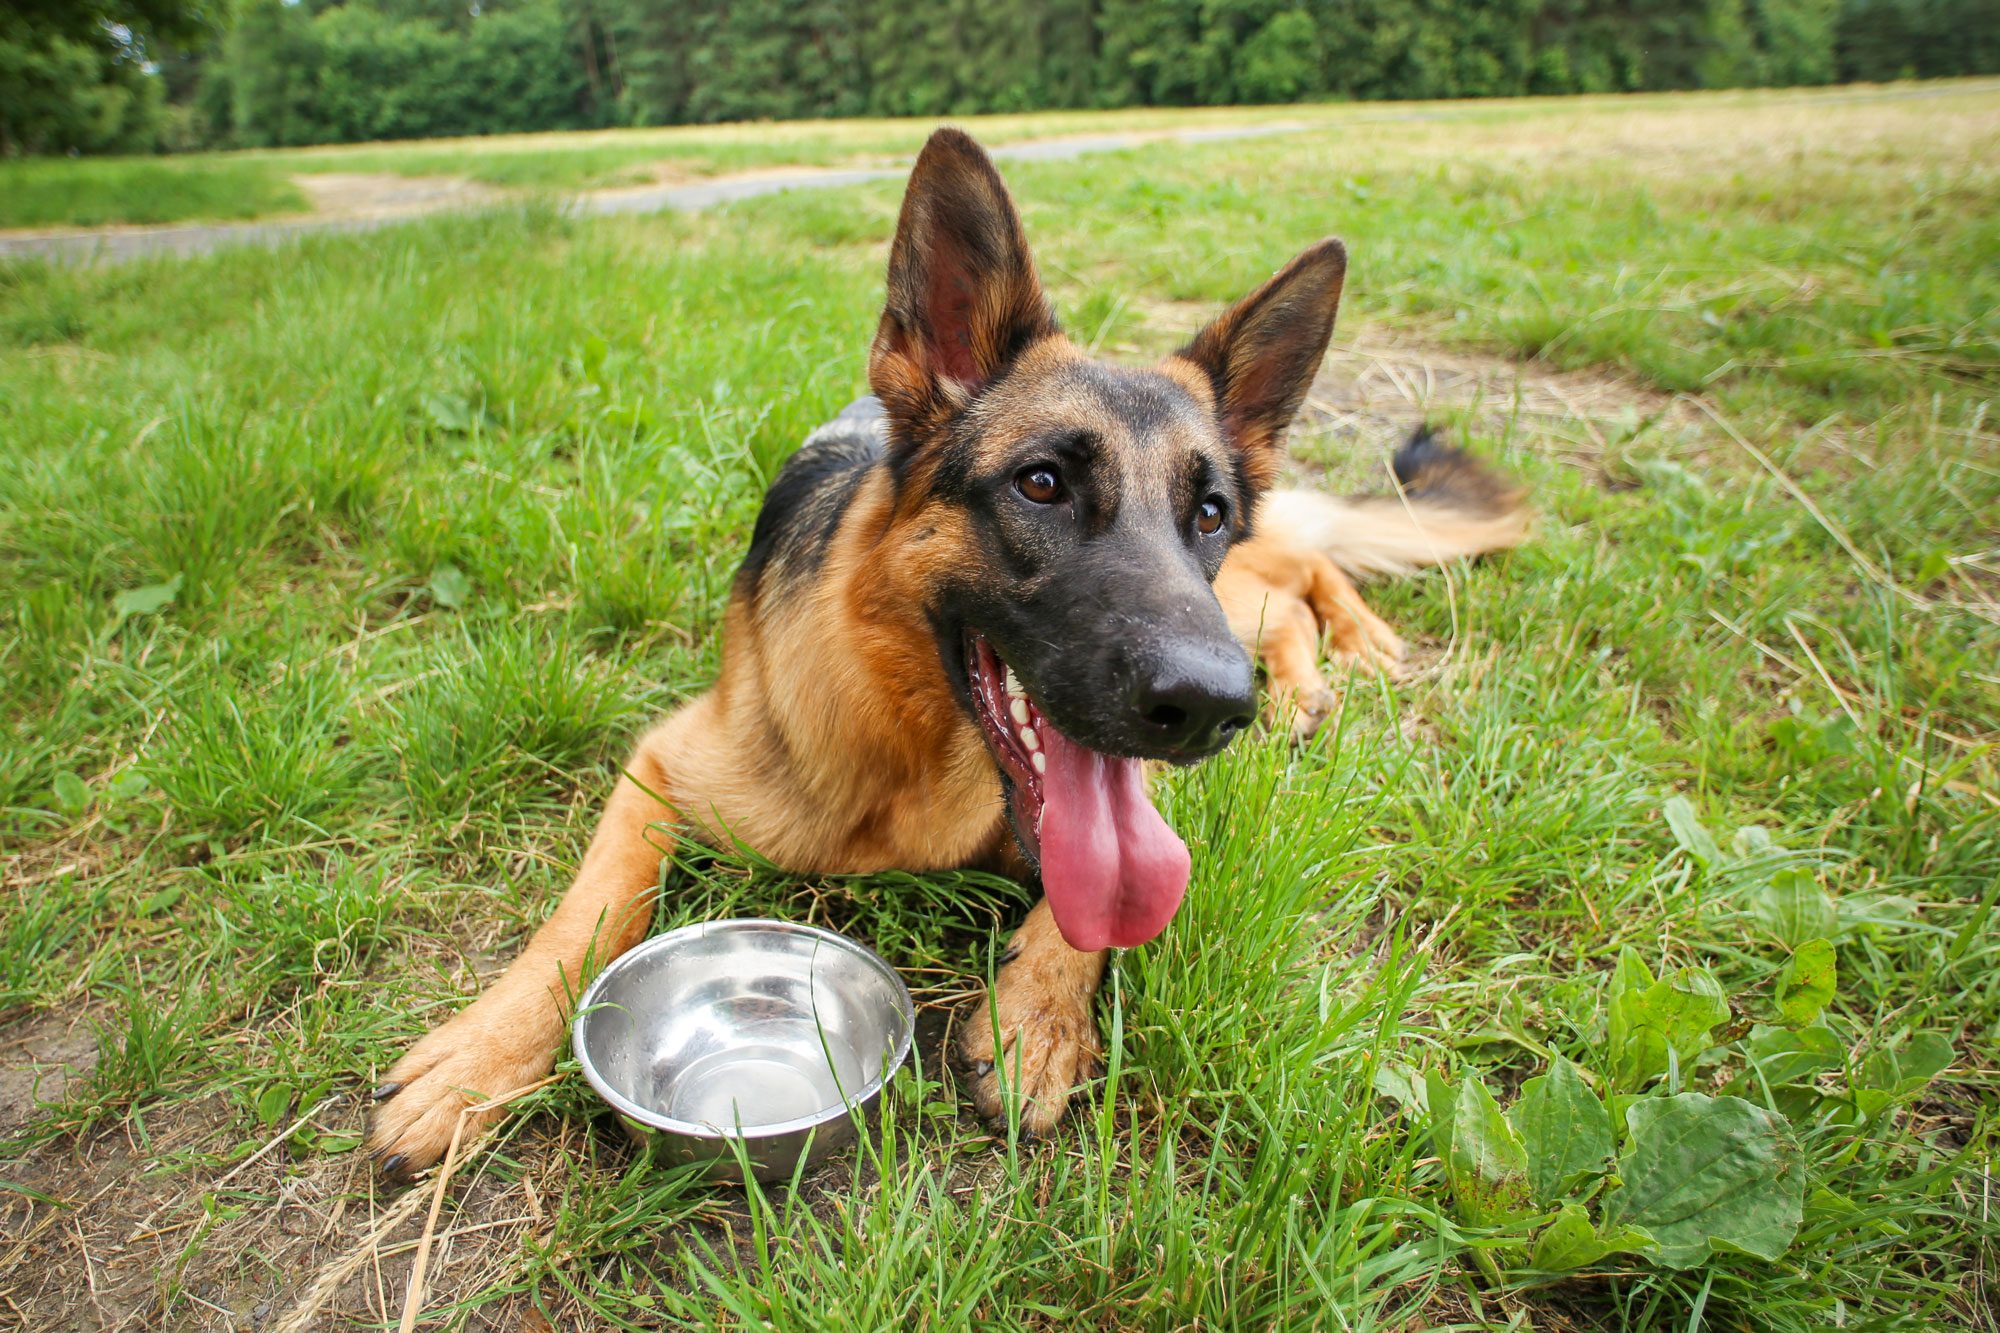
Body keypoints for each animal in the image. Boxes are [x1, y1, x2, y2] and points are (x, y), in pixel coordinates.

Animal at [364, 130, 1512, 1168]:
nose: (1211, 709)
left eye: (1207, 509)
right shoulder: (661, 765)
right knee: (1291, 589)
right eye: (1041, 483)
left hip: (1236, 596)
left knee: (1302, 571)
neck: (910, 746)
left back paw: (1348, 653)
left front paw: (1039, 1019)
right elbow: (586, 914)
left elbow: (1091, 917)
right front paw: (478, 1058)